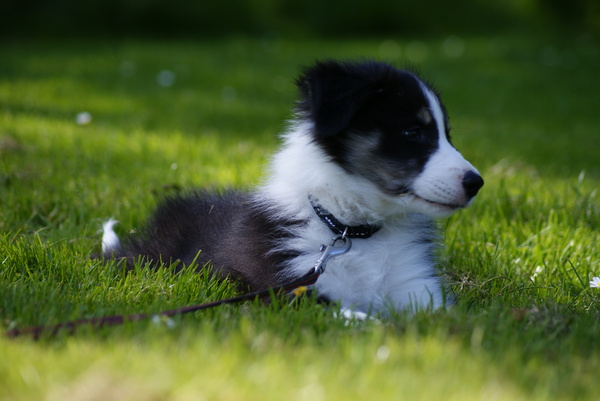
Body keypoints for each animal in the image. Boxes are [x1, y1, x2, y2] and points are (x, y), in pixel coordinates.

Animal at [102, 61, 482, 314]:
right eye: (412, 132)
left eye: (447, 134)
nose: (476, 183)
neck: (350, 230)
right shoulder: (293, 287)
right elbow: (357, 316)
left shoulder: (417, 289)